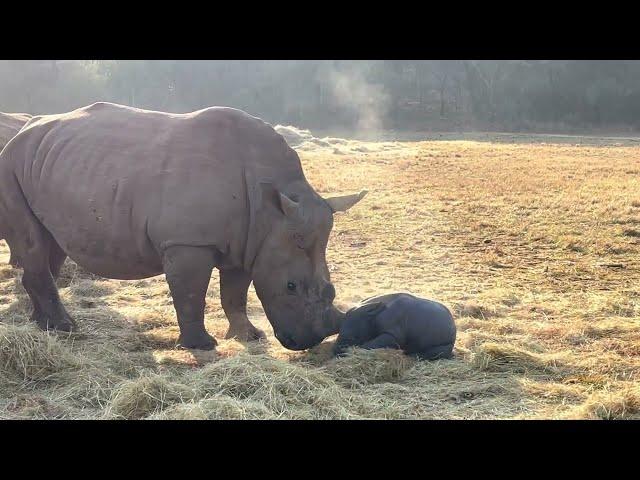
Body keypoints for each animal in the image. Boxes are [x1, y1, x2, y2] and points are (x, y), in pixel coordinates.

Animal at [0, 102, 364, 348]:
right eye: (290, 286)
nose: (312, 341)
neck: (271, 209)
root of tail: (22, 132)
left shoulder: (249, 242)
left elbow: (235, 294)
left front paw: (248, 337)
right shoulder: (187, 241)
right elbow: (190, 293)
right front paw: (202, 345)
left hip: (51, 164)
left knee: (51, 243)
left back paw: (42, 325)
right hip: (10, 164)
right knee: (34, 243)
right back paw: (65, 328)